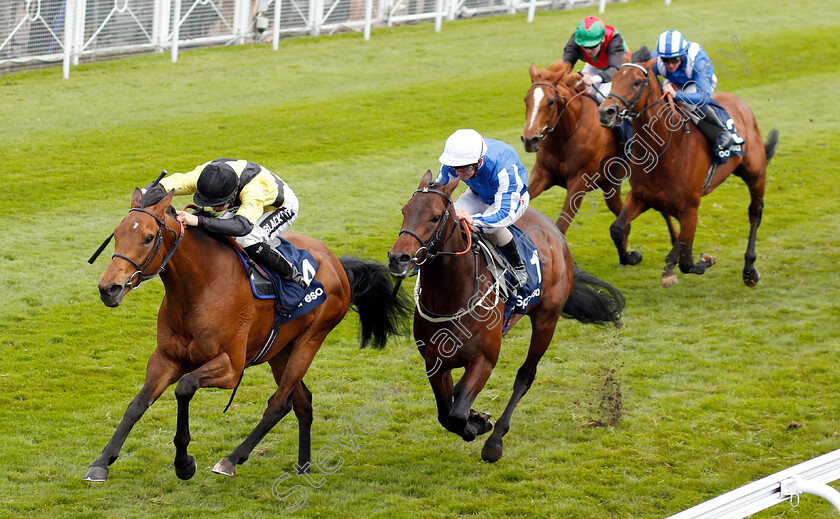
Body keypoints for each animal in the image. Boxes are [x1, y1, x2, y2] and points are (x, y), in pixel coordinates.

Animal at [85, 188, 410, 484]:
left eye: (149, 237)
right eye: (117, 235)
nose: (109, 288)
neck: (199, 290)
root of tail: (336, 263)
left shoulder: (231, 366)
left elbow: (185, 387)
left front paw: (184, 463)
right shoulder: (165, 358)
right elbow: (137, 404)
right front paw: (102, 462)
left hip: (310, 340)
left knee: (280, 403)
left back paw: (232, 459)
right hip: (280, 351)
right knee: (302, 401)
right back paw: (303, 467)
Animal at [388, 173, 624, 466]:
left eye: (434, 217)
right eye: (404, 211)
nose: (398, 258)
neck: (451, 296)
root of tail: (555, 232)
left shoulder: (484, 360)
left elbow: (456, 415)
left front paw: (479, 425)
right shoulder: (434, 362)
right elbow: (446, 413)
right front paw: (476, 417)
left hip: (547, 320)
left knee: (525, 376)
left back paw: (495, 441)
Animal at [600, 62, 776, 288]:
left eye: (637, 81)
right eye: (614, 78)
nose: (606, 112)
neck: (664, 150)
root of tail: (741, 104)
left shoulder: (690, 206)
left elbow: (686, 260)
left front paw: (699, 262)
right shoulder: (641, 196)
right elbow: (617, 228)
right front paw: (632, 256)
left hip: (755, 174)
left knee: (755, 213)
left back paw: (749, 269)